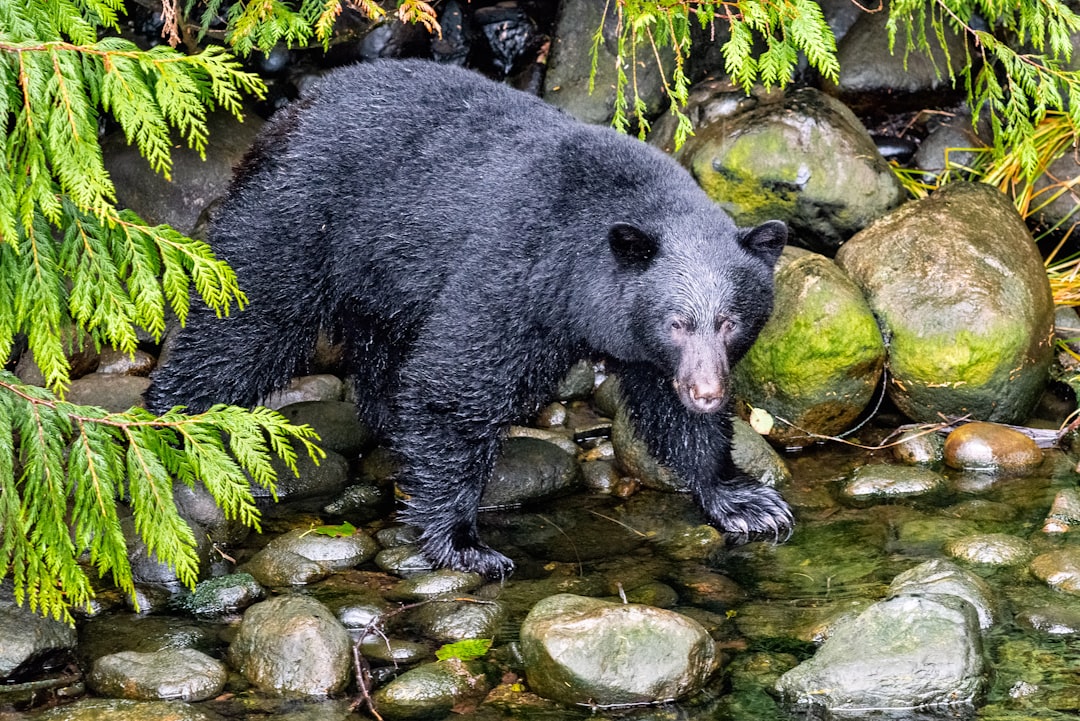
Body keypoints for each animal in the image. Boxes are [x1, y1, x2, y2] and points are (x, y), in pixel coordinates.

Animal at [145, 59, 792, 578]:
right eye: (677, 321)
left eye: (730, 321)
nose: (708, 392)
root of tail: (290, 113)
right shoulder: (515, 274)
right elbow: (454, 386)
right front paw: (463, 542)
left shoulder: (644, 350)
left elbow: (667, 410)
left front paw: (743, 500)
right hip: (298, 222)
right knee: (246, 327)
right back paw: (173, 423)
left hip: (381, 273)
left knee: (379, 349)